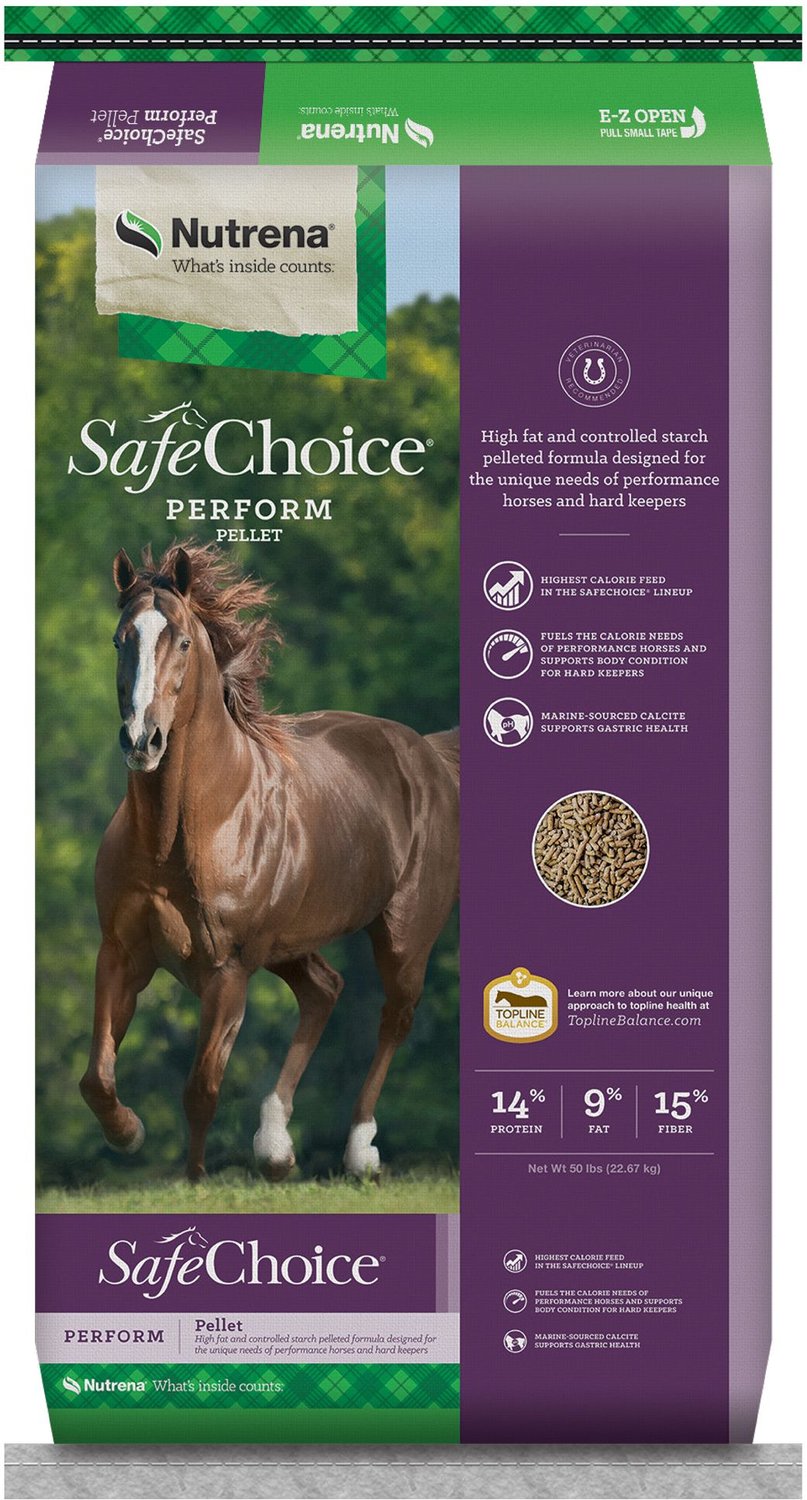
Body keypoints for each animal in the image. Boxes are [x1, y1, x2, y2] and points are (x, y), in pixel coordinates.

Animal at [79, 543, 459, 1182]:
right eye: (118, 639)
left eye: (183, 641)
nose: (141, 741)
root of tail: (428, 753)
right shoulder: (123, 952)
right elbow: (97, 1079)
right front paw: (129, 1134)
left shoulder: (228, 970)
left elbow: (201, 1088)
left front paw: (195, 1180)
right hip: (290, 943)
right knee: (325, 990)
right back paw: (276, 1148)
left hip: (404, 936)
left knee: (395, 1017)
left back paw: (359, 1152)